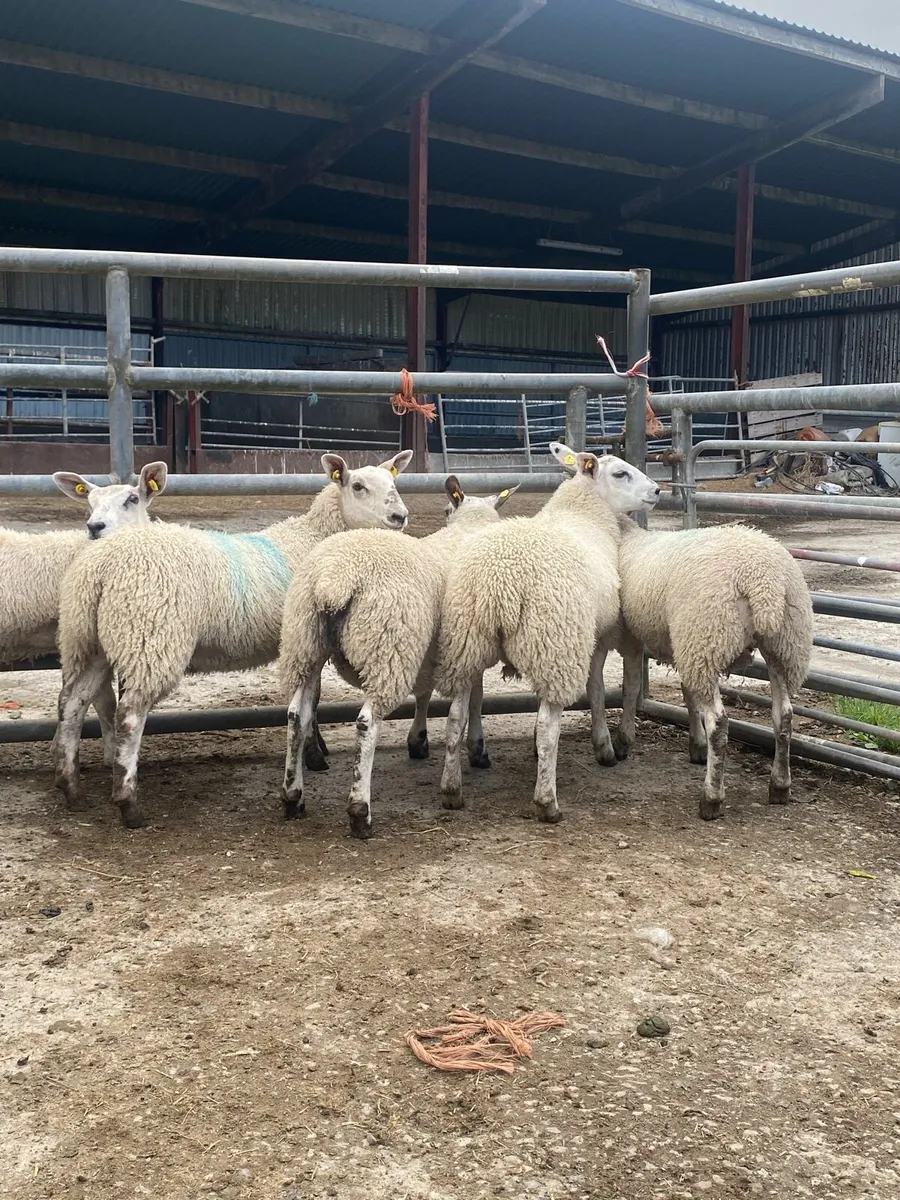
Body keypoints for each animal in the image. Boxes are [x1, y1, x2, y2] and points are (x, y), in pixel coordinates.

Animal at [0, 462, 168, 762]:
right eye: (90, 503)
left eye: (133, 498)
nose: (95, 526)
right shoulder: (79, 641)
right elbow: (100, 701)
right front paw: (109, 753)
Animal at [54, 450, 413, 829]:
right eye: (358, 486)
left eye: (393, 482)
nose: (399, 516)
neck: (316, 534)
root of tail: (99, 568)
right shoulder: (306, 643)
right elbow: (311, 703)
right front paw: (315, 756)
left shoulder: (303, 646)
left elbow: (307, 704)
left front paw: (314, 752)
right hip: (151, 638)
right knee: (129, 716)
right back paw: (128, 804)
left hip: (87, 642)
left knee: (71, 703)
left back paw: (71, 788)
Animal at [278, 474, 519, 838]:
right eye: (446, 508)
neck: (468, 529)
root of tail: (334, 579)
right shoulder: (465, 645)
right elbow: (464, 709)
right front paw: (460, 775)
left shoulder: (437, 650)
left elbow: (430, 694)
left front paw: (420, 742)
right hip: (387, 648)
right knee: (366, 723)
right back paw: (359, 812)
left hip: (305, 644)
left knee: (297, 716)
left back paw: (293, 798)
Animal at [436, 444, 660, 823]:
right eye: (621, 473)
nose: (658, 491)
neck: (584, 513)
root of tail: (499, 580)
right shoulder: (593, 636)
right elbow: (597, 689)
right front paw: (605, 746)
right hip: (556, 644)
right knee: (546, 726)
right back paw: (547, 802)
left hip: (467, 643)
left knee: (454, 718)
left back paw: (452, 791)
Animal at [595, 517, 813, 821]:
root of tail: (762, 582)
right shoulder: (684, 645)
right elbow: (687, 692)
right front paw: (696, 746)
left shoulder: (634, 637)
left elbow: (631, 687)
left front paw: (623, 742)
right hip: (783, 644)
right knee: (783, 715)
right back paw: (780, 785)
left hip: (707, 633)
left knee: (719, 724)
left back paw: (711, 798)